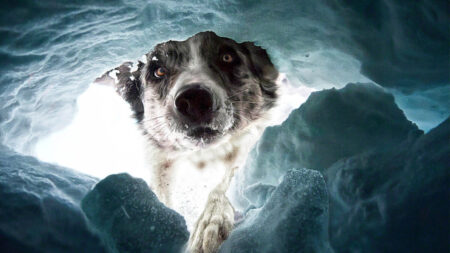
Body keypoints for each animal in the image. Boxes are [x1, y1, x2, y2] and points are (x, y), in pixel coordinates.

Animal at [94, 31, 278, 253]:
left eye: (227, 57)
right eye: (159, 71)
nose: (194, 100)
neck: (202, 160)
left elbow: (224, 184)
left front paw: (211, 221)